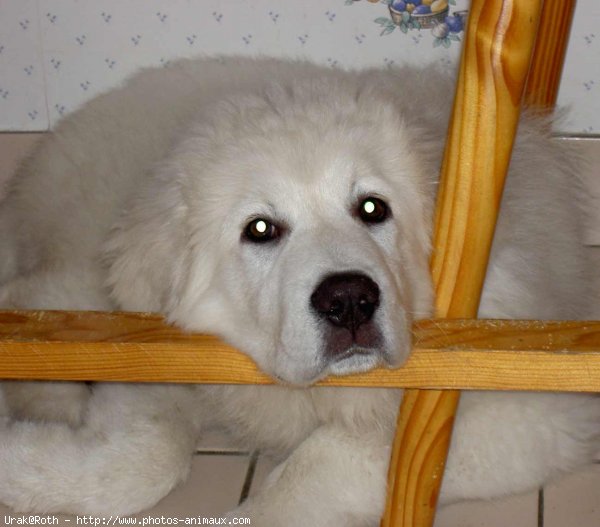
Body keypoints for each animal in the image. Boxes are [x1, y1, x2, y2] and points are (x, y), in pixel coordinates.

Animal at [1, 55, 600, 524]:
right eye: (261, 229)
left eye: (372, 208)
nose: (350, 300)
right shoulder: (157, 351)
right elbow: (147, 457)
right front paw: (22, 462)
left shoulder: (525, 411)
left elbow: (318, 468)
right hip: (83, 283)